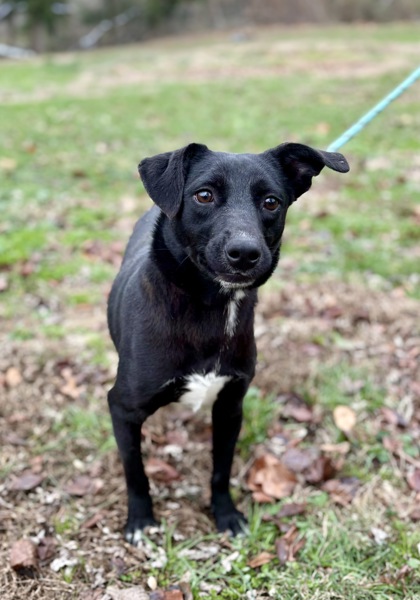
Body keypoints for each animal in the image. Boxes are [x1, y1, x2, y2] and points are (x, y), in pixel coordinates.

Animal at [107, 142, 349, 544]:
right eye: (204, 195)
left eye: (271, 202)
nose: (245, 253)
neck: (209, 309)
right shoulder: (122, 408)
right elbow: (134, 471)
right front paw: (140, 520)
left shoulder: (230, 406)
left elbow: (221, 469)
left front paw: (225, 514)